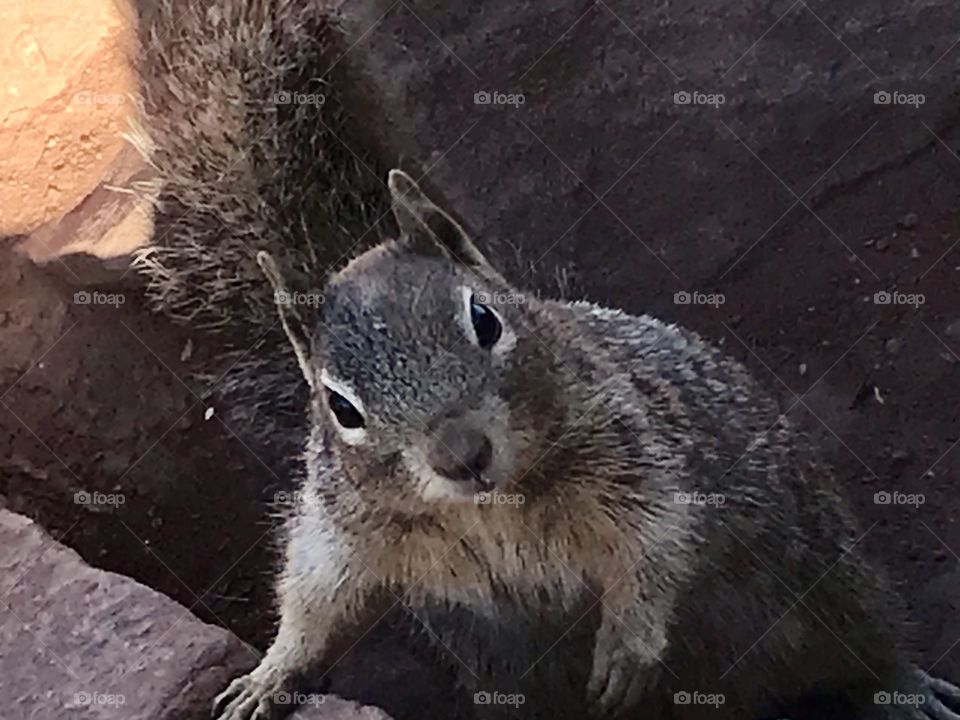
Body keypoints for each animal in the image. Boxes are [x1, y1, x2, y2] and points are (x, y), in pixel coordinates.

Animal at [128, 1, 960, 719]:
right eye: (341, 407)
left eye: (485, 320)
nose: (462, 454)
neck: (495, 507)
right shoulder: (345, 526)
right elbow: (314, 596)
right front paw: (268, 677)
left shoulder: (634, 448)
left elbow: (656, 539)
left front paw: (627, 642)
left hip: (818, 573)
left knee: (864, 641)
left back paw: (906, 688)